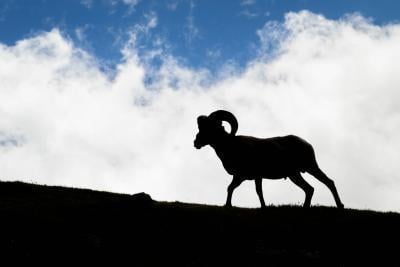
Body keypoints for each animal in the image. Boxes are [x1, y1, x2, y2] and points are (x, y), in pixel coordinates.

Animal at [194, 109, 344, 209]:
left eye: (209, 127)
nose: (196, 142)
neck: (230, 146)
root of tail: (307, 144)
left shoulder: (246, 176)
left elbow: (240, 189)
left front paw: (229, 205)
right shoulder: (250, 177)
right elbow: (245, 190)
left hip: (310, 167)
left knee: (327, 183)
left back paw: (339, 205)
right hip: (295, 174)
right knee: (311, 188)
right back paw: (307, 208)